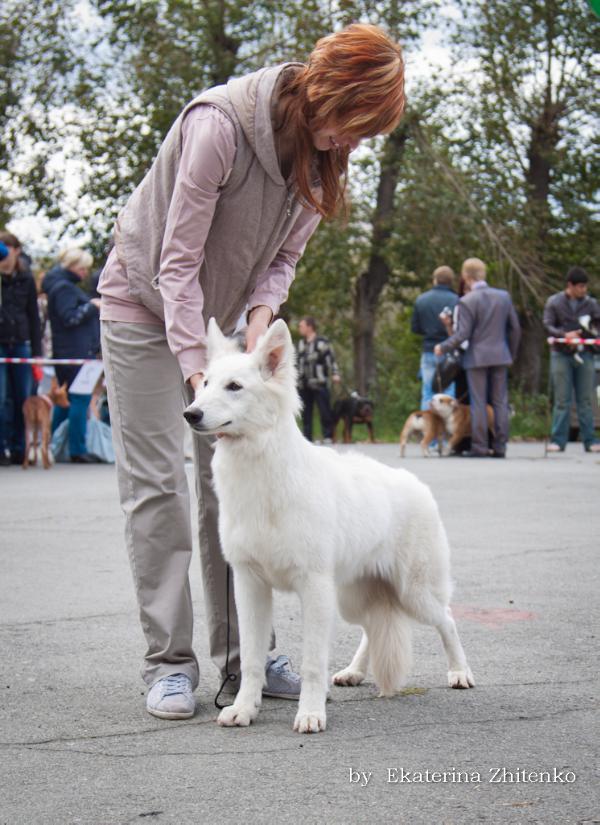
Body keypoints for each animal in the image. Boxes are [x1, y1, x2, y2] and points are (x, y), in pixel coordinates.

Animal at [183, 318, 474, 732]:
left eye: (234, 387)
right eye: (205, 383)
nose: (190, 414)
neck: (264, 475)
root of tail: (417, 484)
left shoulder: (314, 588)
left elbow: (311, 662)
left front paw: (310, 713)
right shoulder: (250, 585)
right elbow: (252, 659)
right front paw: (243, 708)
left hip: (413, 594)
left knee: (447, 620)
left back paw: (460, 672)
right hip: (354, 597)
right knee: (372, 628)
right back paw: (354, 671)